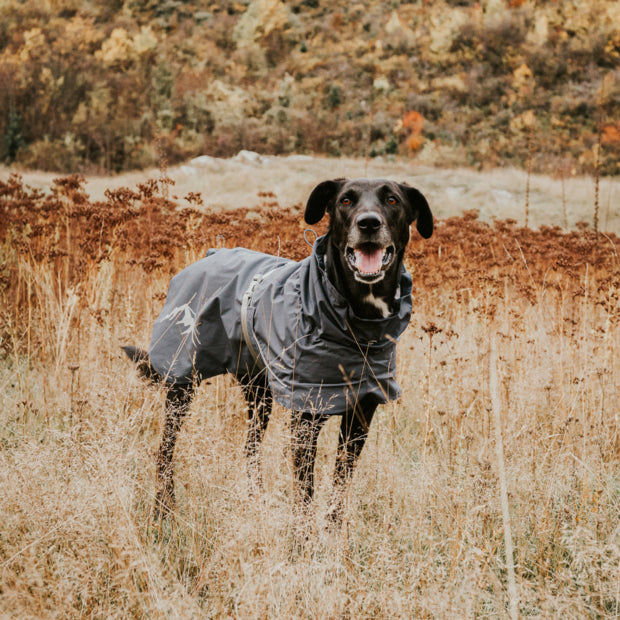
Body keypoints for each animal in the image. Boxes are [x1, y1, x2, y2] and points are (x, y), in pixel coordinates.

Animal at [121, 179, 432, 524]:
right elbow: (306, 493)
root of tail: (207, 256)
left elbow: (339, 487)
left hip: (259, 393)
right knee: (165, 448)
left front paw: (332, 532)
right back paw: (163, 511)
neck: (357, 325)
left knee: (250, 448)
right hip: (181, 380)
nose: (368, 223)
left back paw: (254, 502)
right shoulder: (305, 420)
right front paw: (302, 537)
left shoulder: (360, 415)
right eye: (346, 200)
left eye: (392, 199)